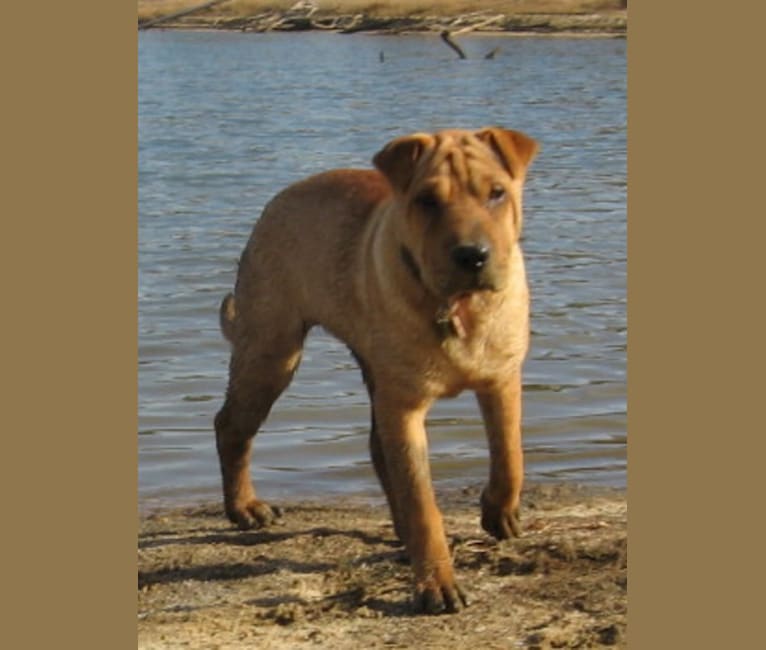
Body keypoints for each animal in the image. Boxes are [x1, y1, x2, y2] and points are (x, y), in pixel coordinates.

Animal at [214, 126, 540, 612]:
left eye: (497, 193)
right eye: (427, 201)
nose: (472, 256)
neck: (455, 307)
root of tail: (281, 197)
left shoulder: (500, 377)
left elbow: (509, 454)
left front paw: (499, 512)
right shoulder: (403, 408)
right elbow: (423, 504)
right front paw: (437, 585)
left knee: (374, 449)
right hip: (272, 351)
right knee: (232, 426)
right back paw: (245, 508)